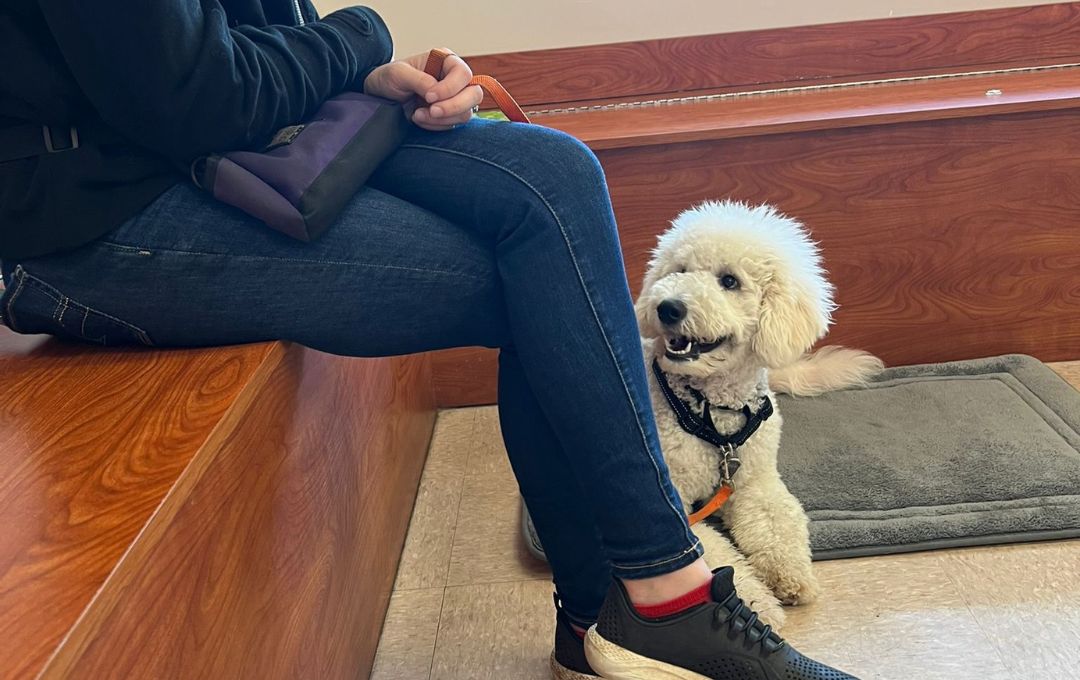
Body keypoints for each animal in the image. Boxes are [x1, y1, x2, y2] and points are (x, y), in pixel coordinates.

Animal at [635, 199, 881, 630]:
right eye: (679, 270)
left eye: (729, 281)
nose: (667, 307)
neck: (712, 408)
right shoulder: (677, 506)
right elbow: (714, 556)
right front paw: (754, 602)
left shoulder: (755, 480)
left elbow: (778, 522)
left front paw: (790, 576)